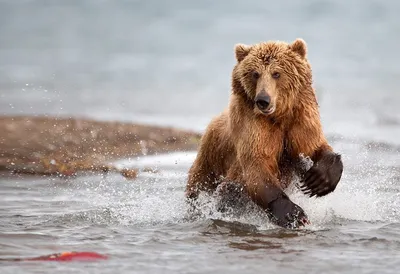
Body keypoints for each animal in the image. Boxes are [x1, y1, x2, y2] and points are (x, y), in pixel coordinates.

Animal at [184, 37, 344, 228]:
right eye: (255, 73)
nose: (263, 100)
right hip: (211, 160)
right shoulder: (254, 127)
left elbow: (312, 147)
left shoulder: (300, 119)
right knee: (207, 188)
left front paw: (318, 180)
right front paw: (293, 214)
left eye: (276, 73)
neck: (279, 116)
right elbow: (258, 165)